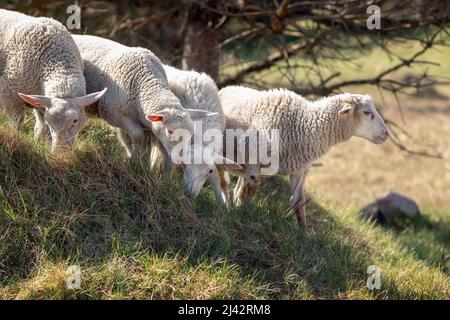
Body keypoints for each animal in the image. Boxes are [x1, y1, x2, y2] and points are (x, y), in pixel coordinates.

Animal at [0, 9, 106, 150]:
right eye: (49, 121)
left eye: (75, 120)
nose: (60, 150)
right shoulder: (9, 96)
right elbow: (17, 124)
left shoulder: (40, 103)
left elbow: (40, 129)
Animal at [72, 35, 216, 161]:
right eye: (170, 131)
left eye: (191, 133)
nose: (181, 160)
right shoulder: (112, 113)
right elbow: (137, 135)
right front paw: (134, 161)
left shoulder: (146, 124)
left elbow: (146, 144)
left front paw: (142, 162)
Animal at [160, 65, 241, 205]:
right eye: (184, 164)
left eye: (208, 171)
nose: (189, 194)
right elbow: (169, 165)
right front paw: (165, 185)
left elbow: (216, 179)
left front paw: (222, 205)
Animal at [220, 85, 388, 225]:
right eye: (367, 113)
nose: (386, 133)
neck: (302, 124)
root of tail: (227, 87)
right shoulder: (254, 160)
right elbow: (250, 190)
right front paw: (246, 214)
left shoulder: (299, 171)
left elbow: (298, 202)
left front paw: (304, 232)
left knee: (238, 188)